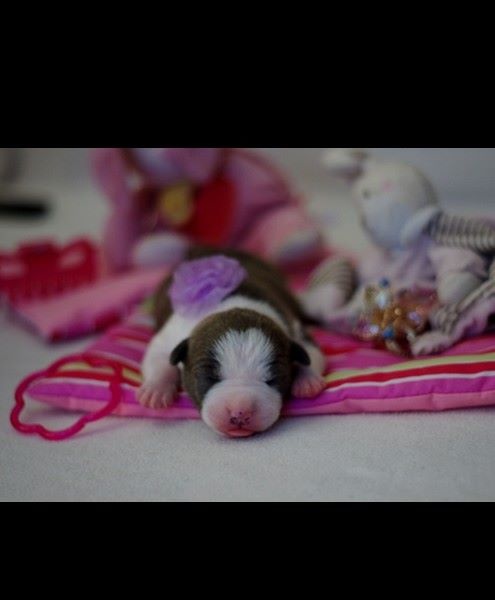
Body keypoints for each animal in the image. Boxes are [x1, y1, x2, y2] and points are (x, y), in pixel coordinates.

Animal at [138, 247, 326, 437]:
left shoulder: (295, 330)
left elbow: (310, 352)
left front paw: (307, 381)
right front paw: (156, 390)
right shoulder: (170, 335)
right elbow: (159, 357)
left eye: (273, 378)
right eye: (209, 377)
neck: (235, 304)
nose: (240, 411)